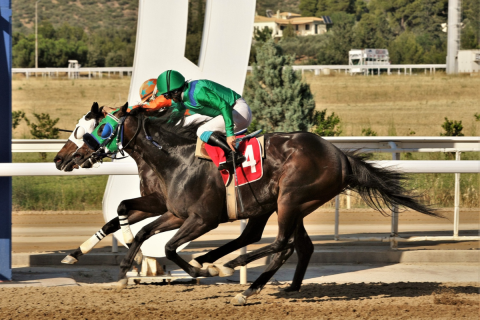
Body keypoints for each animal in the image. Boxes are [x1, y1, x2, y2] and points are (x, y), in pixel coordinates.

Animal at [83, 104, 438, 304]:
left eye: (100, 126)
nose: (80, 152)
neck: (175, 158)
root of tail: (340, 156)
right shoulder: (175, 212)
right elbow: (148, 233)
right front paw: (123, 272)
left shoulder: (203, 218)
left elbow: (169, 247)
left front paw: (198, 269)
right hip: (286, 204)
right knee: (290, 243)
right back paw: (273, 285)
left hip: (290, 199)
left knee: (281, 244)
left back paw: (238, 275)